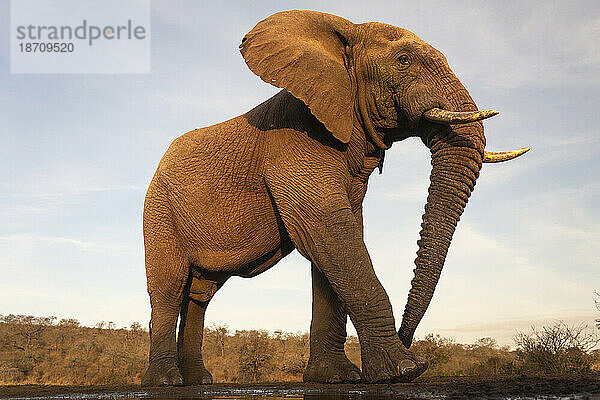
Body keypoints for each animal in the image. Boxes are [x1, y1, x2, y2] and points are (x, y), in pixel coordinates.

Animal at [139, 9, 524, 386]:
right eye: (403, 60)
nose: (408, 338)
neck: (346, 34)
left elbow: (335, 241)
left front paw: (337, 377)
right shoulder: (297, 141)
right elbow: (329, 231)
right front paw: (404, 371)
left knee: (199, 294)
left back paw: (198, 382)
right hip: (158, 209)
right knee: (169, 287)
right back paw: (164, 382)